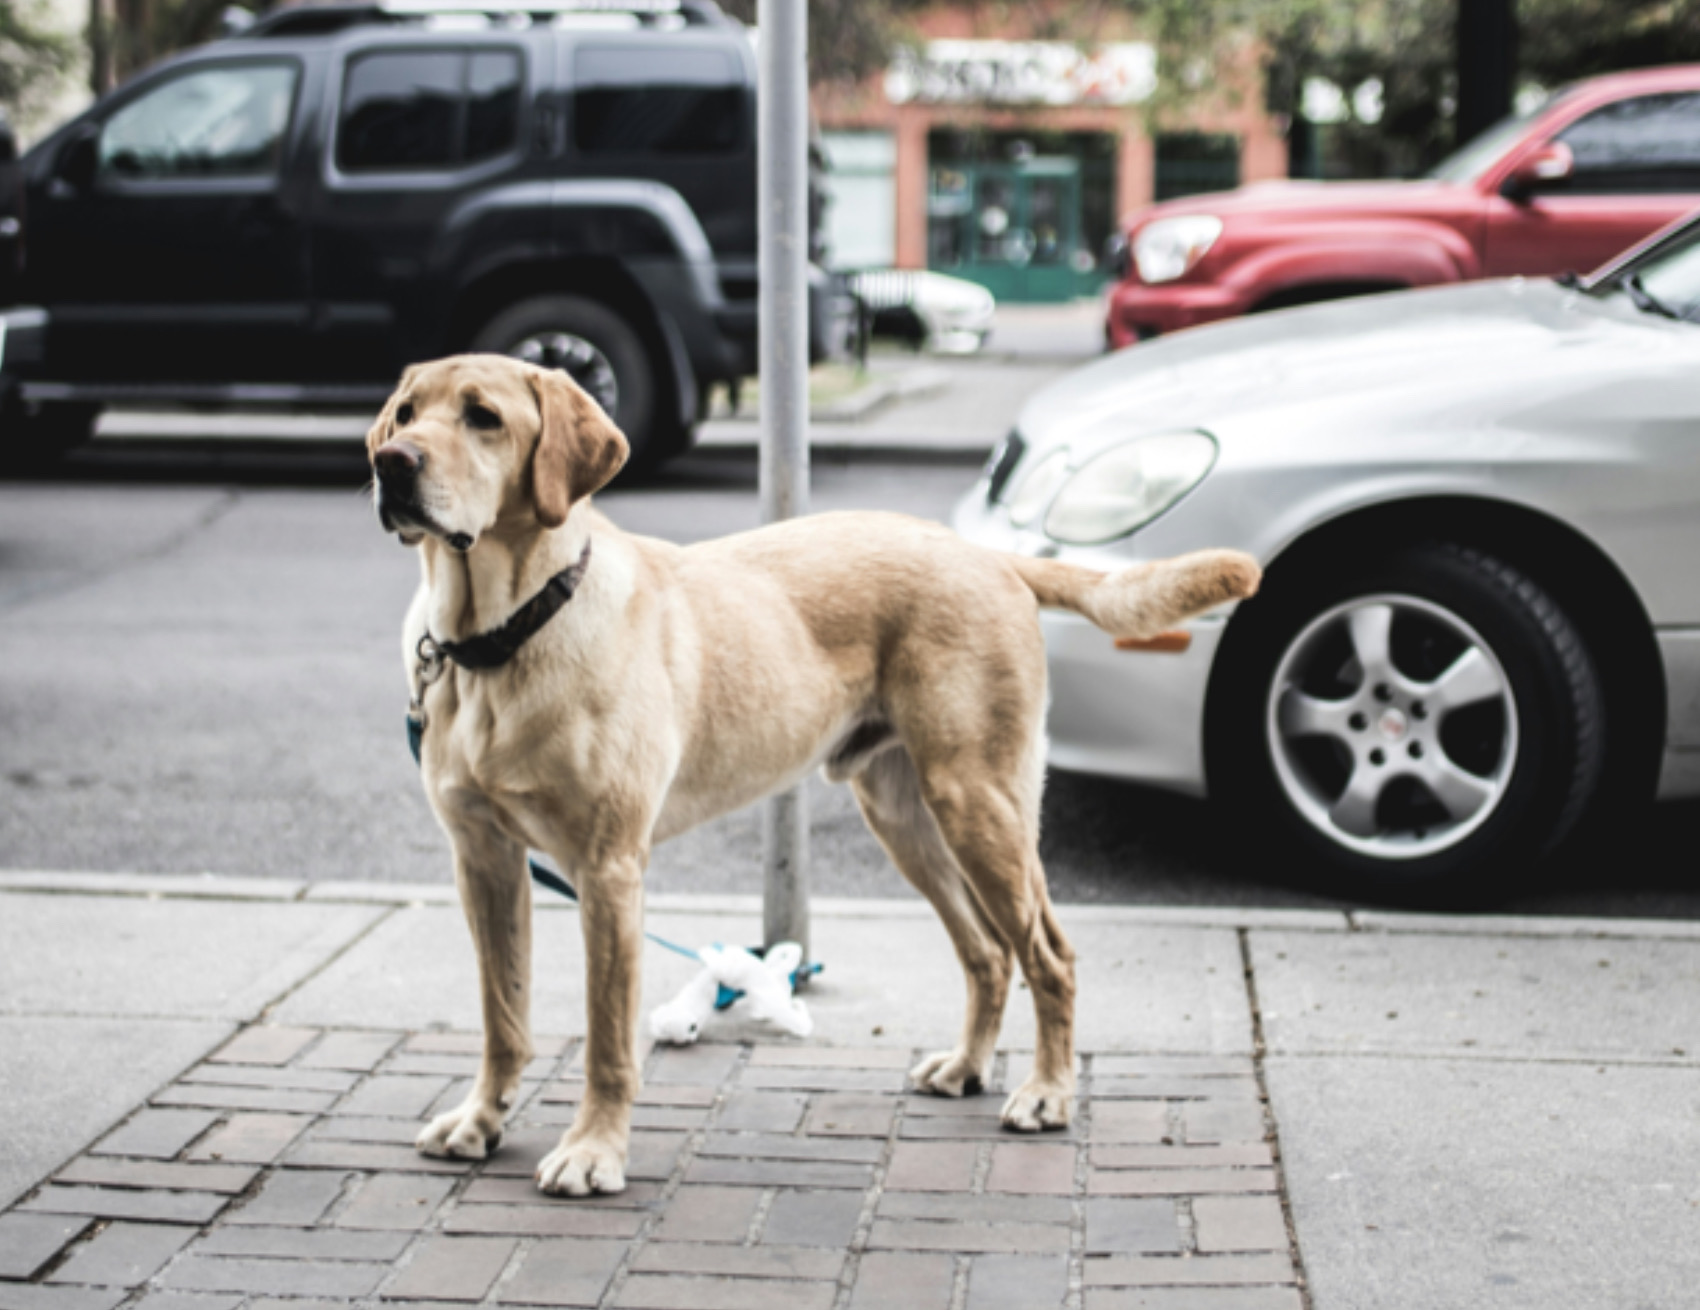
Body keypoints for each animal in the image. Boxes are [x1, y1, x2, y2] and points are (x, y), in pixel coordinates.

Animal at [365, 356, 1258, 1196]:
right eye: (406, 413)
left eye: (484, 417)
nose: (390, 463)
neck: (499, 639)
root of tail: (987, 554)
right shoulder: (485, 861)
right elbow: (503, 1014)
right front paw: (480, 1120)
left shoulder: (608, 870)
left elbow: (608, 1040)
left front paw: (593, 1152)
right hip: (906, 817)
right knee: (986, 953)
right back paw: (968, 1067)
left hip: (981, 804)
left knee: (1049, 953)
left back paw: (1047, 1093)